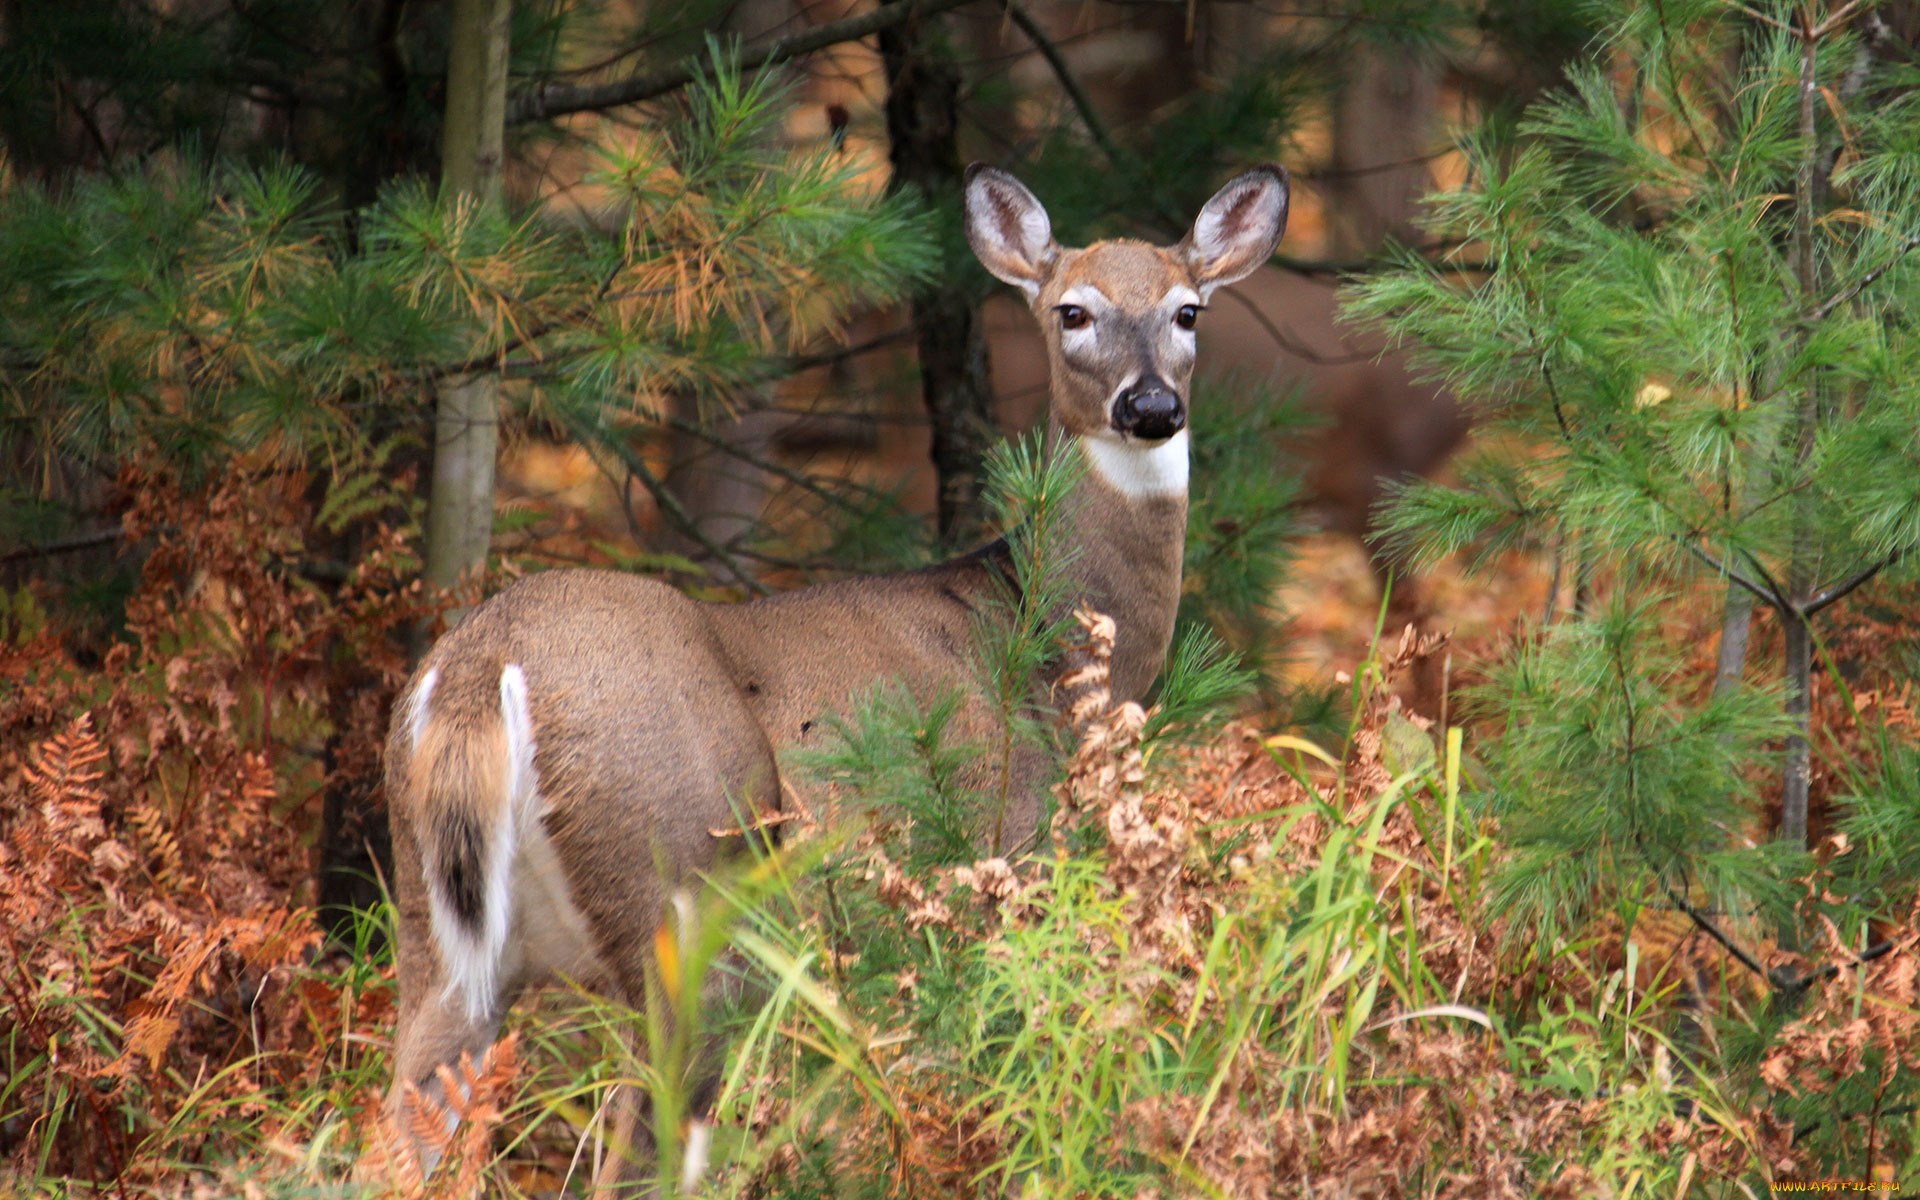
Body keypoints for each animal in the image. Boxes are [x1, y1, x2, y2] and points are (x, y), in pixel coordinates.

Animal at [374, 159, 1290, 1190]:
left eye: (1187, 311)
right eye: (1073, 312)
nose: (1150, 408)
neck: (1047, 637)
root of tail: (479, 670)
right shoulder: (1005, 852)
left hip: (436, 933)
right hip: (682, 888)